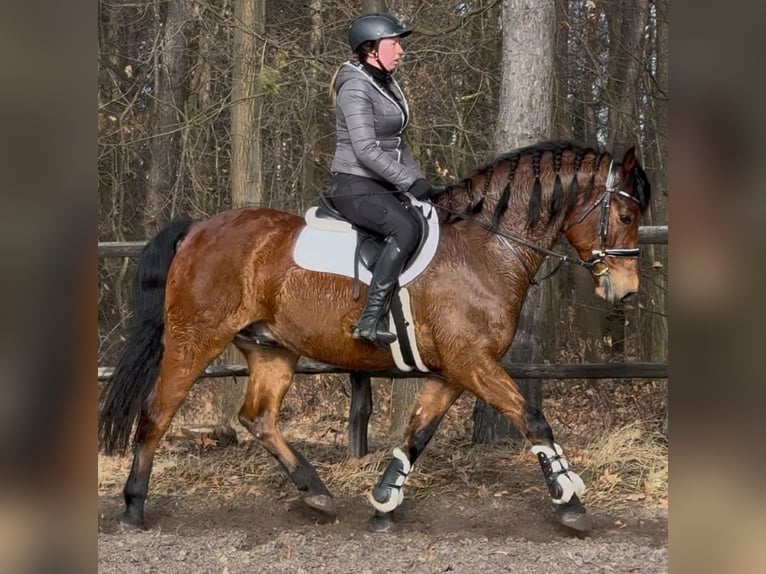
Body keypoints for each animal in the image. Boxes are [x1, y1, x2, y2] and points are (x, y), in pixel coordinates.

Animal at [97, 141, 656, 536]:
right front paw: (570, 502)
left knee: (258, 418)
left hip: (272, 349)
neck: (485, 248)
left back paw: (316, 493)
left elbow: (417, 433)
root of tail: (197, 229)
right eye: (626, 216)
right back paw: (133, 505)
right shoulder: (473, 363)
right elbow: (534, 420)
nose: (627, 291)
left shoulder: (454, 371)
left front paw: (385, 502)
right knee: (158, 412)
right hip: (195, 339)